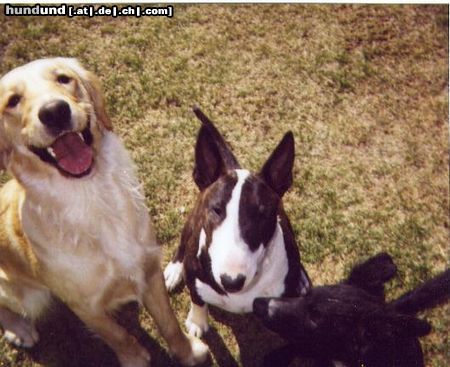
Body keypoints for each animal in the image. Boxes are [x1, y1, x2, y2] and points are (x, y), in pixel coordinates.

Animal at [0, 59, 207, 366]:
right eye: (13, 101)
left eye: (64, 79)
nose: (54, 112)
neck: (93, 196)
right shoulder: (86, 306)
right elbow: (118, 336)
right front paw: (135, 358)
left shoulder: (149, 270)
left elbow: (168, 322)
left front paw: (188, 352)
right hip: (27, 296)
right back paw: (19, 329)